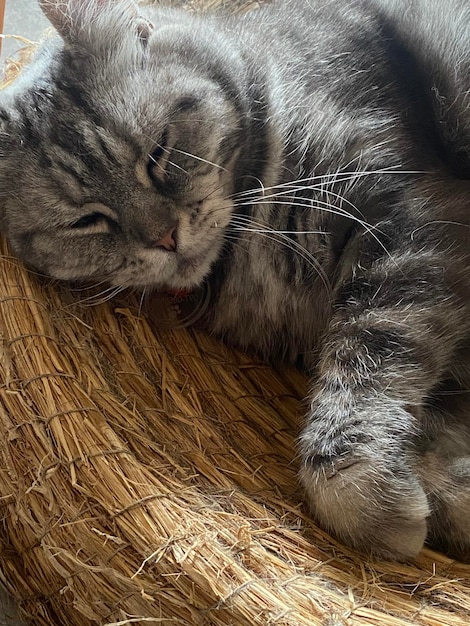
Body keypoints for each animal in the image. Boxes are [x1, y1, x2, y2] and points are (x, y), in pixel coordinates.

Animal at [0, 0, 470, 560]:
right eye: (86, 220)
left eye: (158, 152)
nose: (165, 238)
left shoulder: (407, 228)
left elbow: (364, 374)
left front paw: (368, 497)